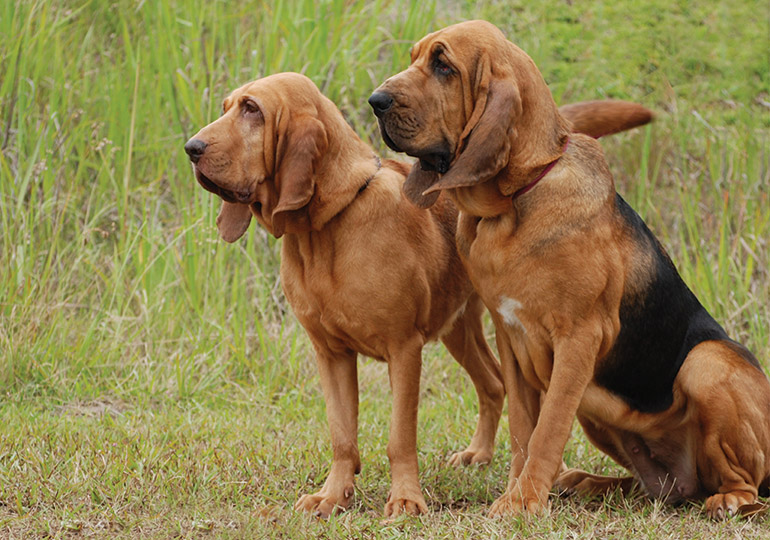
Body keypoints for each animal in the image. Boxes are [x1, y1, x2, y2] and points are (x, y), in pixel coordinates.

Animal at [183, 71, 652, 516]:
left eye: (252, 110)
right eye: (226, 106)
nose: (191, 148)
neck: (329, 228)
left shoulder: (403, 349)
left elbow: (399, 438)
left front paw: (406, 501)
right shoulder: (331, 355)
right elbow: (342, 436)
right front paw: (333, 496)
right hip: (458, 328)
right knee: (493, 382)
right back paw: (479, 454)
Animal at [368, 21, 764, 520]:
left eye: (443, 66)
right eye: (417, 58)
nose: (375, 101)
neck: (514, 205)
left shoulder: (578, 338)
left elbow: (548, 430)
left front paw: (522, 502)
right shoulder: (511, 338)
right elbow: (523, 430)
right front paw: (518, 492)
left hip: (704, 363)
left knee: (742, 484)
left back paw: (728, 499)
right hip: (603, 418)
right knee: (663, 488)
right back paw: (587, 483)